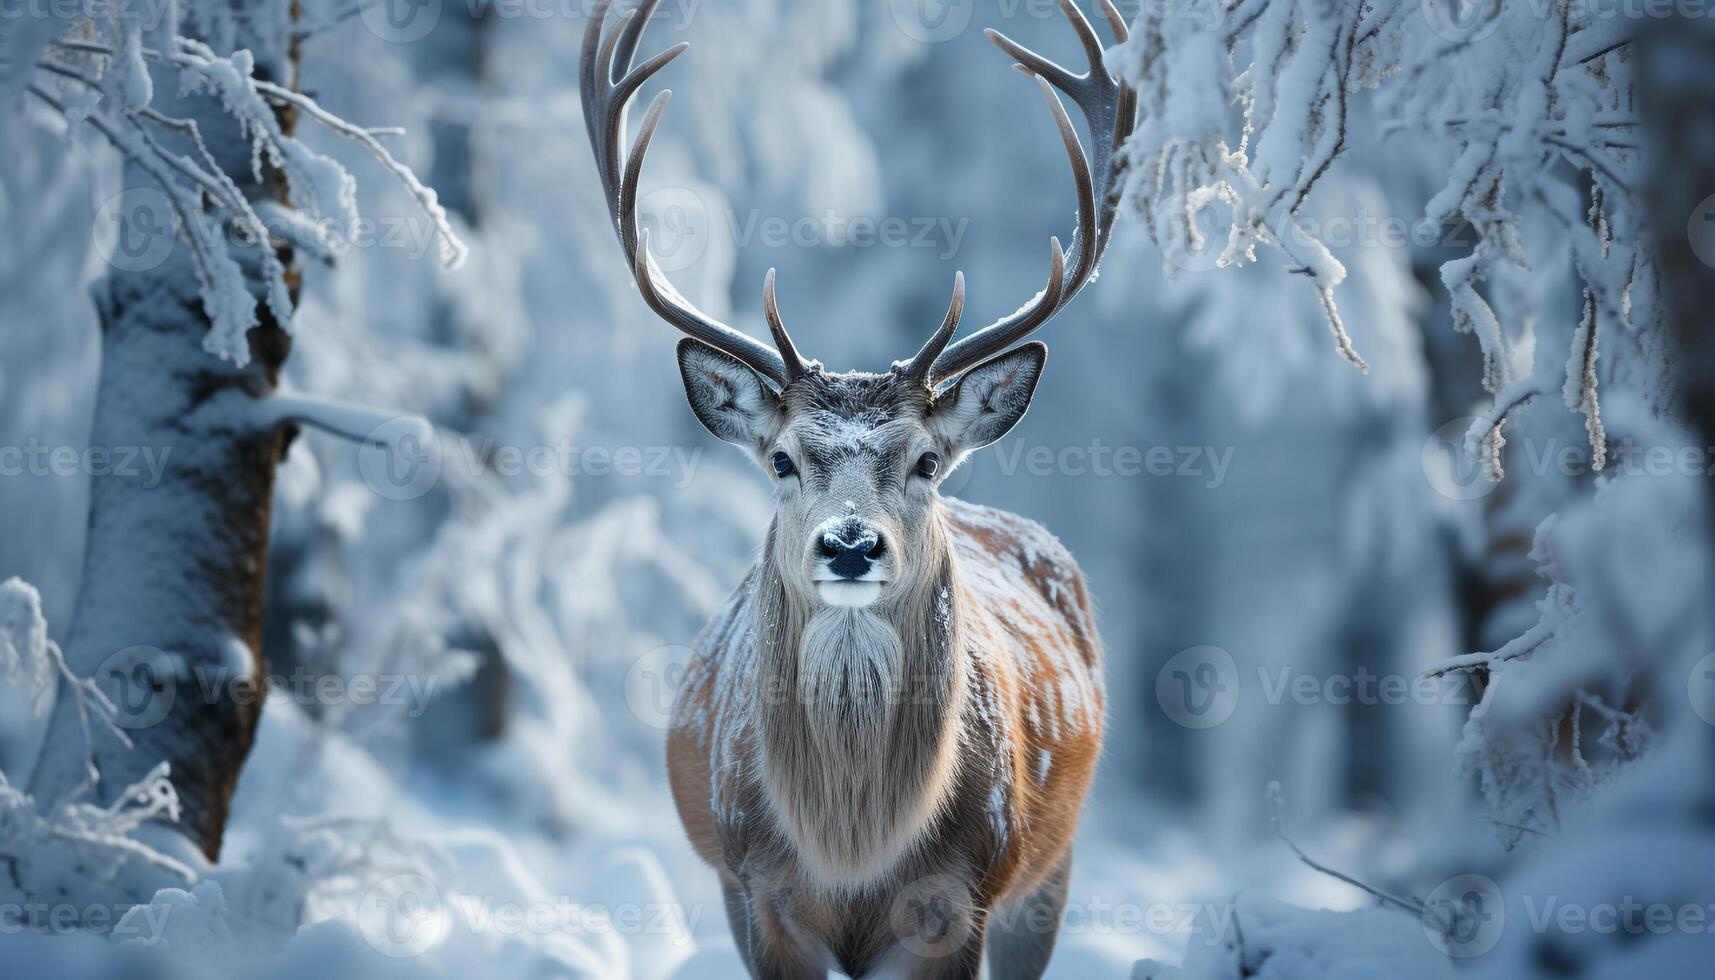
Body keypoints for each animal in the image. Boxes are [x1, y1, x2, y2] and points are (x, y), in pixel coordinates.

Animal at [583, 3, 1131, 974]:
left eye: (924, 461)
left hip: (1051, 867)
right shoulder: (756, 893)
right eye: (781, 460)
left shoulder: (959, 899)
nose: (849, 543)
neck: (851, 850)